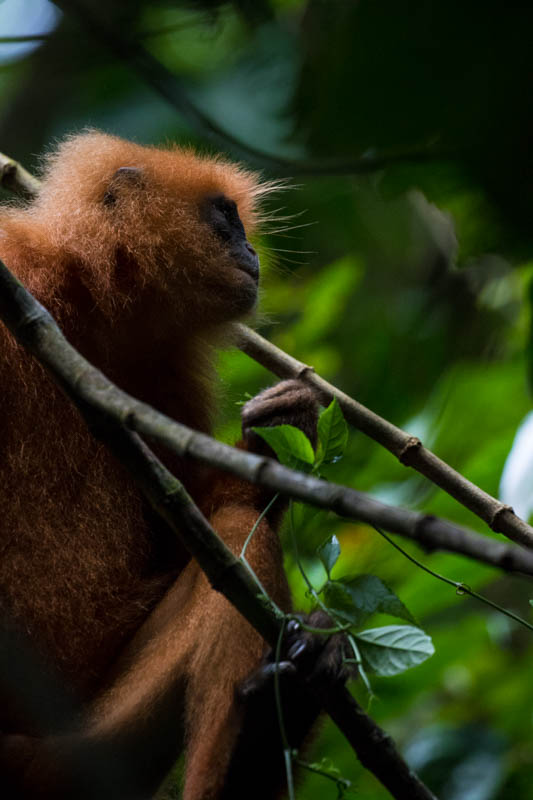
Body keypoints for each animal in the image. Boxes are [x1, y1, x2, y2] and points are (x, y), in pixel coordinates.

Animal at [0, 134, 348, 796]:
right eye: (224, 217)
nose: (250, 251)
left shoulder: (163, 370)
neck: (81, 305)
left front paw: (277, 436)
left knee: (233, 535)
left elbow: (196, 514)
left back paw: (265, 733)